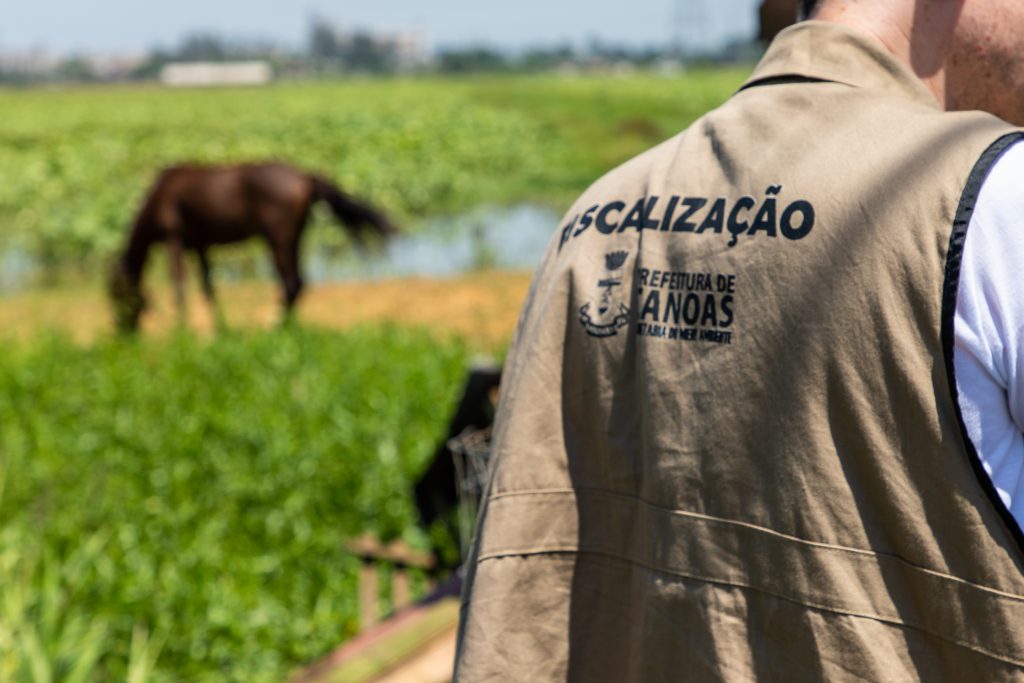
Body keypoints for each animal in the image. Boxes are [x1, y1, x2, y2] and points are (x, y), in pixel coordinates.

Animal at [109, 160, 395, 331]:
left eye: (117, 295)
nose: (123, 332)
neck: (159, 197)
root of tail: (305, 176)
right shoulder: (201, 245)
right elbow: (208, 287)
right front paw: (220, 327)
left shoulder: (174, 240)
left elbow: (179, 285)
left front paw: (182, 329)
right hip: (294, 236)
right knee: (299, 282)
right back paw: (284, 322)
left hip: (277, 238)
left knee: (291, 282)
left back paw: (275, 323)